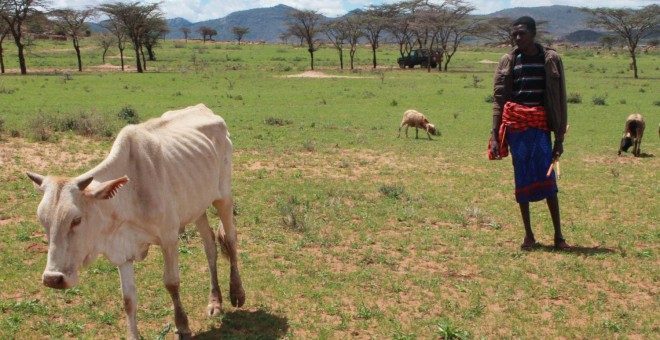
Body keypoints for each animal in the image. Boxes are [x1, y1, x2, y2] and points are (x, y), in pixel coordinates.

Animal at [27, 104, 246, 340]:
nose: (52, 278)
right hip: (197, 207)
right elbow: (128, 299)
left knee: (230, 239)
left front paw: (182, 326)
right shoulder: (123, 250)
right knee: (210, 247)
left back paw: (237, 292)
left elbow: (171, 282)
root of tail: (204, 108)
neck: (131, 192)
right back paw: (215, 302)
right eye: (43, 220)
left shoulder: (169, 238)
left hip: (223, 197)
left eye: (76, 219)